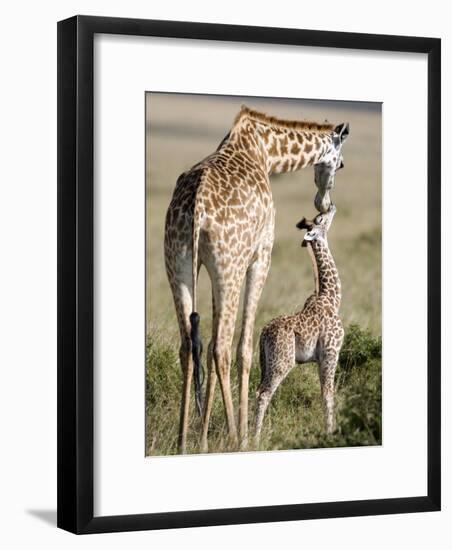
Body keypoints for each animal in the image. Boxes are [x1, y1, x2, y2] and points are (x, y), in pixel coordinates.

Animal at [254, 205, 342, 446]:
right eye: (321, 219)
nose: (332, 207)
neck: (332, 298)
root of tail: (263, 334)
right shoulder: (331, 352)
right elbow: (328, 395)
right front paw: (330, 434)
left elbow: (324, 393)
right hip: (282, 362)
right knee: (264, 394)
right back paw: (252, 440)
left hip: (266, 362)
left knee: (256, 391)